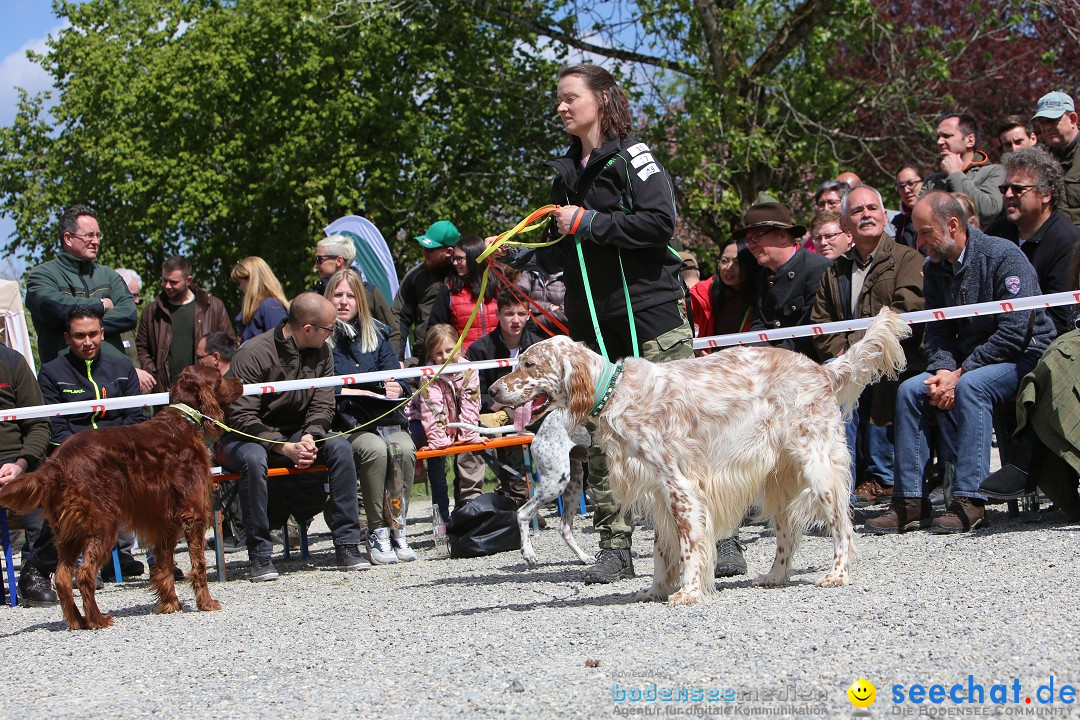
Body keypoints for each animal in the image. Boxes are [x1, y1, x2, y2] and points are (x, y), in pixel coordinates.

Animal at [0, 367, 243, 630]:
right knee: (84, 574)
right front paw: (206, 603)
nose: (240, 380)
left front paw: (170, 604)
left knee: (64, 577)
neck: (182, 421)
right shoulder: (193, 515)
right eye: (219, 377)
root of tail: (56, 463)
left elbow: (164, 564)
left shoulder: (164, 521)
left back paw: (77, 621)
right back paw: (98, 620)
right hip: (102, 525)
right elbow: (198, 564)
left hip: (67, 532)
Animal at [492, 310, 911, 608]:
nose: (493, 390)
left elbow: (691, 544)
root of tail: (822, 370)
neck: (616, 392)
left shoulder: (681, 486)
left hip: (817, 468)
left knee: (842, 526)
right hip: (778, 481)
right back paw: (774, 576)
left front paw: (689, 592)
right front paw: (657, 590)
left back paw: (837, 573)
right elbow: (663, 551)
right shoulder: (656, 492)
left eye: (529, 364)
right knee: (787, 534)